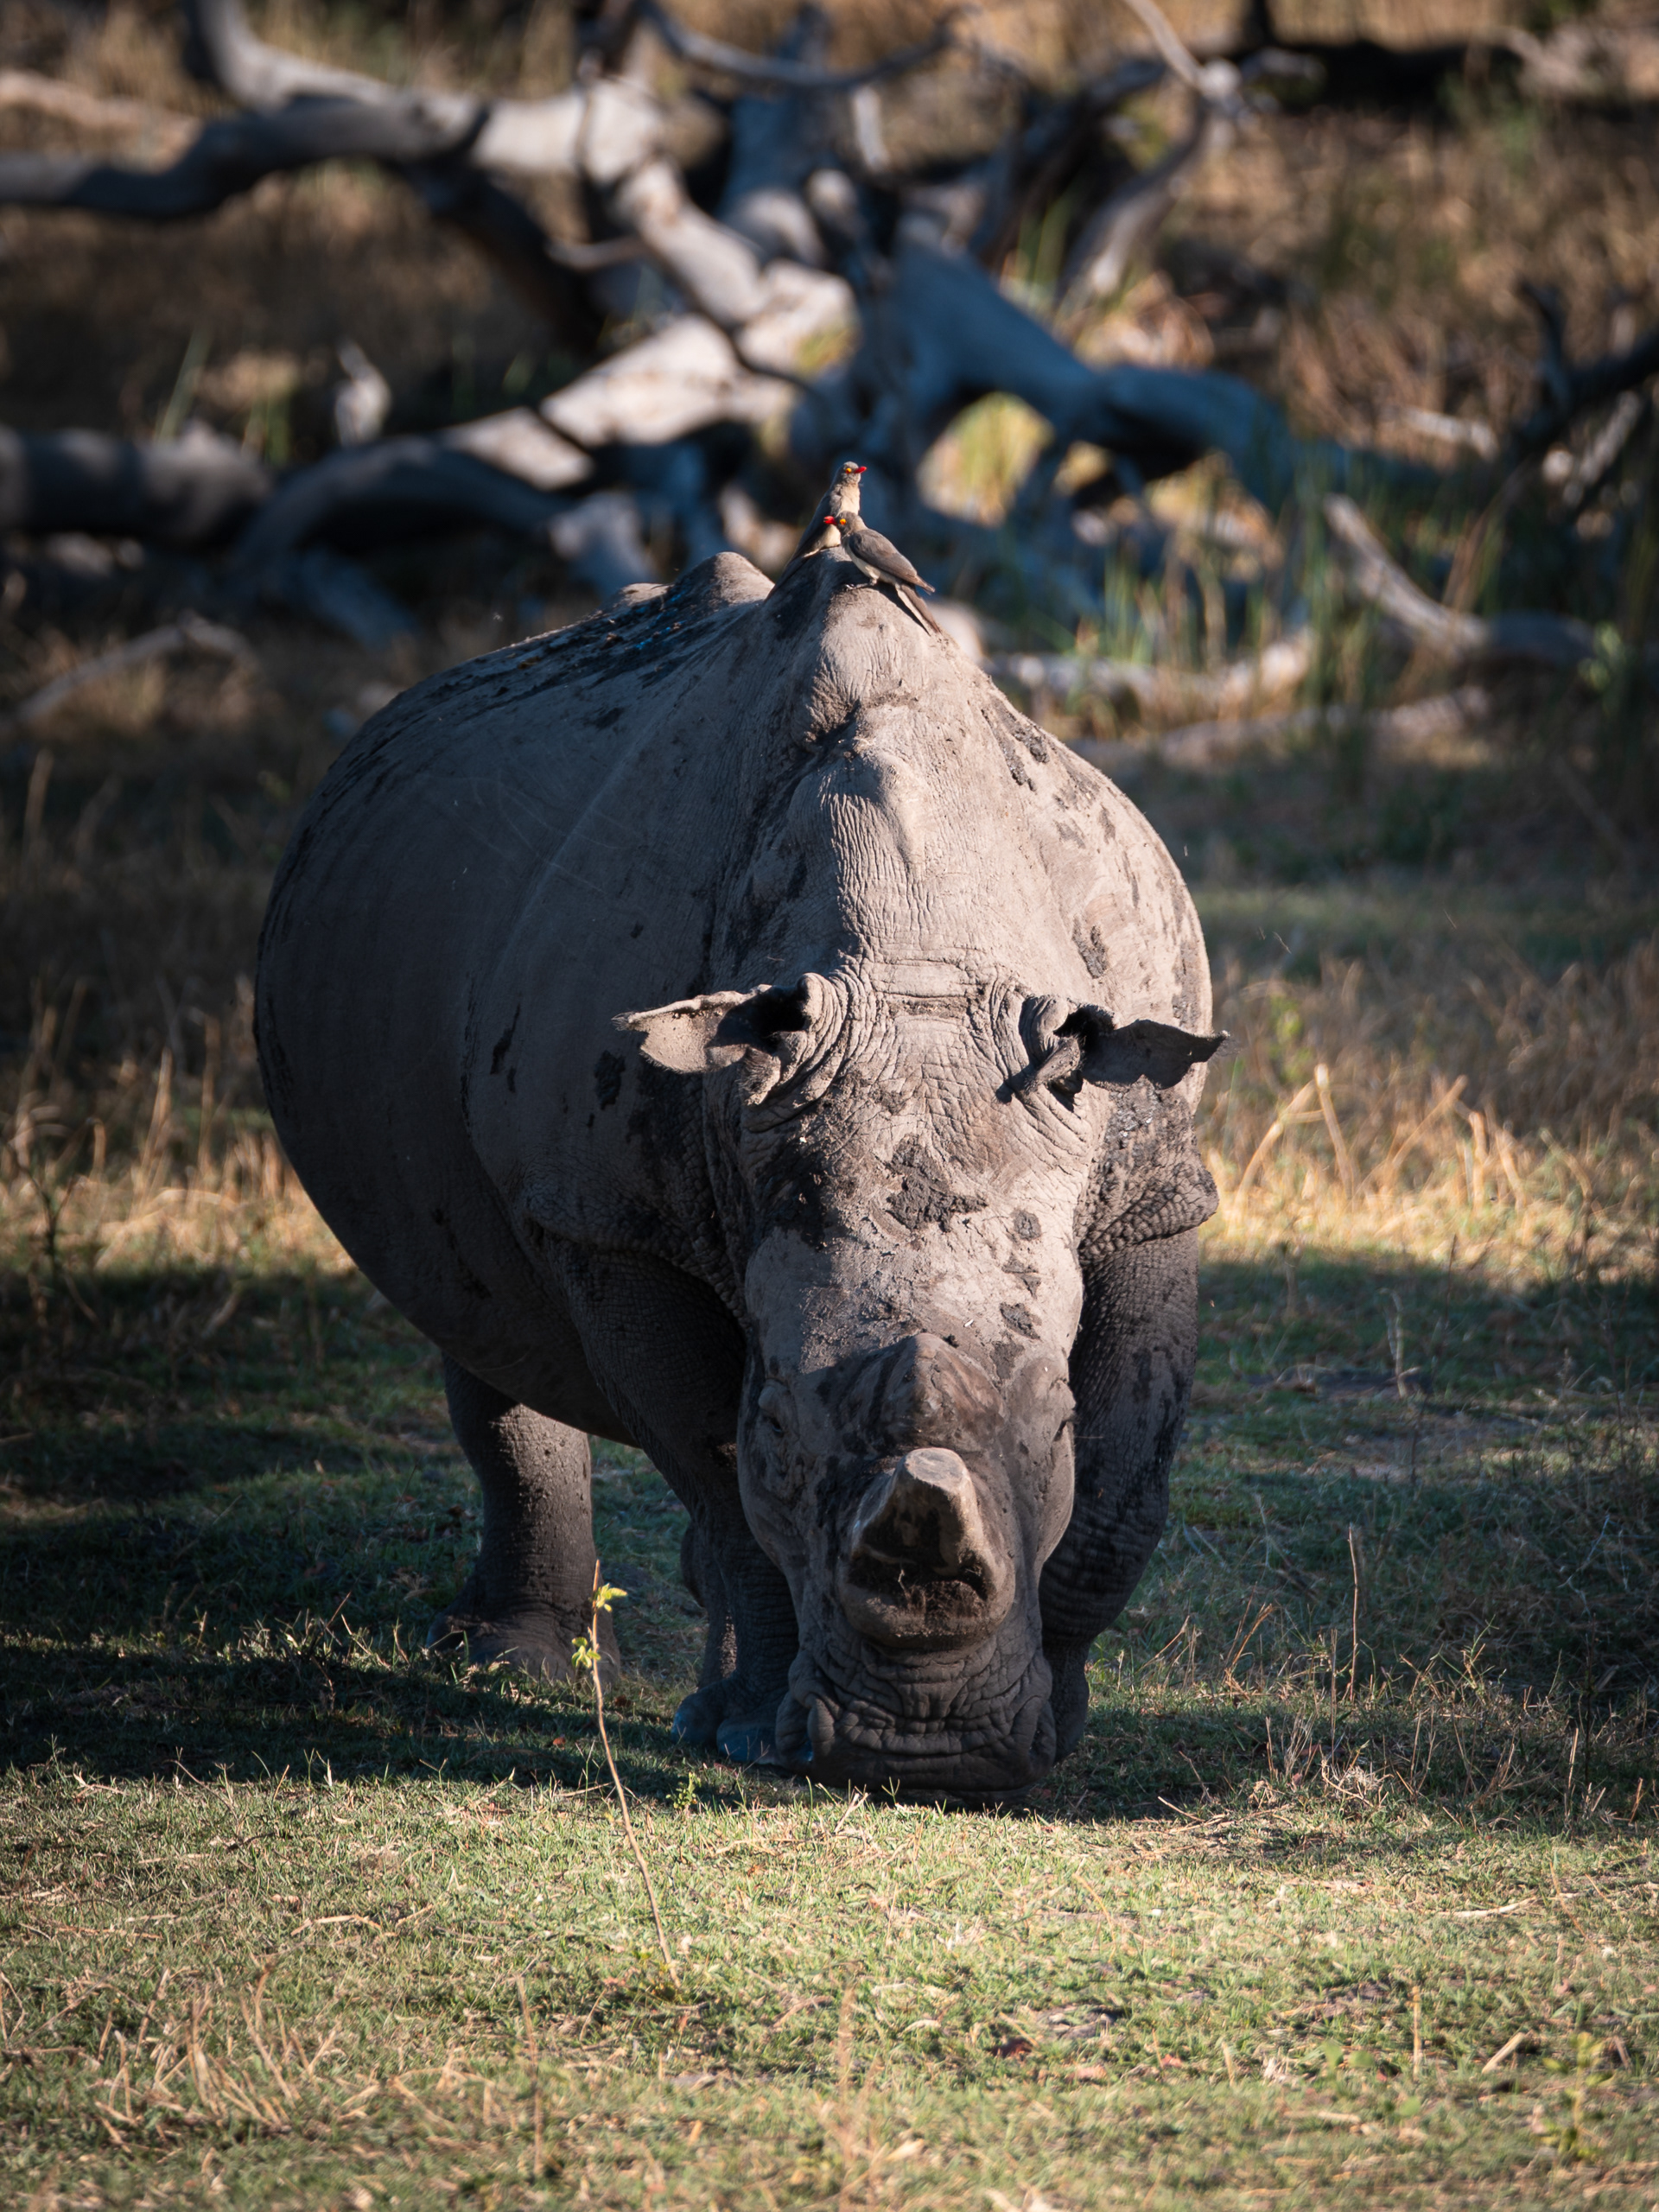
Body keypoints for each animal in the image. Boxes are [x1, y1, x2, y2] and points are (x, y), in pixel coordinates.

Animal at [256, 548, 1221, 1799]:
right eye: (780, 1422)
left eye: (1050, 1421)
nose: (920, 1753)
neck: (918, 964)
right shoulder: (608, 1216)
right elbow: (718, 1472)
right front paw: (763, 1729)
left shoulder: (1152, 1196)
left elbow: (1121, 1488)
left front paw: (1053, 1727)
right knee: (476, 1303)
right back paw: (547, 1674)